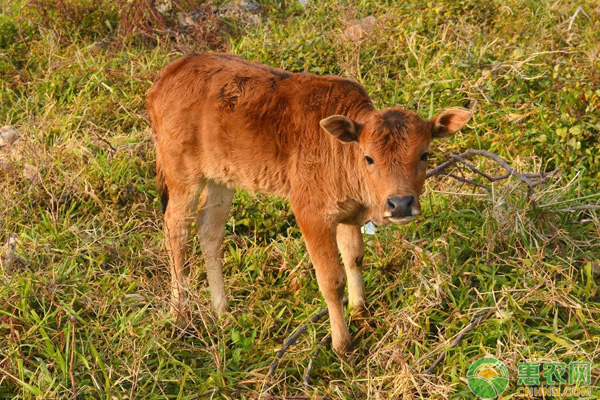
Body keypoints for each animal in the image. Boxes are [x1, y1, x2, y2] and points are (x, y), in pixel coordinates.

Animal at [148, 52, 472, 354]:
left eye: (425, 154)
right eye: (369, 158)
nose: (401, 203)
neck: (343, 152)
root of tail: (168, 75)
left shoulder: (347, 213)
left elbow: (354, 257)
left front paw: (360, 310)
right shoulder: (310, 213)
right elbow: (331, 280)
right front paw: (342, 344)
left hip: (221, 179)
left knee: (210, 230)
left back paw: (222, 311)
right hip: (182, 177)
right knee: (177, 231)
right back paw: (180, 314)